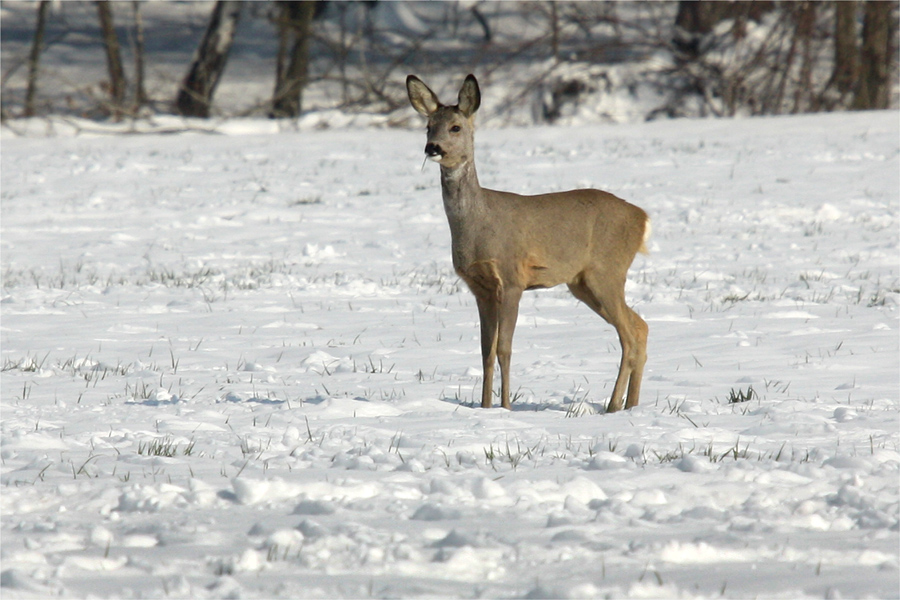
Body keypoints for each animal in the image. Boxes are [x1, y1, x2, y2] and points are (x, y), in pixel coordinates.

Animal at [410, 74, 652, 412]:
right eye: (428, 126)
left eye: (455, 127)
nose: (432, 147)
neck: (479, 224)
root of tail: (642, 217)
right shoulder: (480, 287)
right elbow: (485, 350)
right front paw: (485, 408)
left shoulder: (512, 278)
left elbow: (504, 348)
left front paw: (505, 408)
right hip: (582, 282)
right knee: (640, 327)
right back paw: (631, 406)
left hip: (607, 271)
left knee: (628, 334)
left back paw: (613, 405)